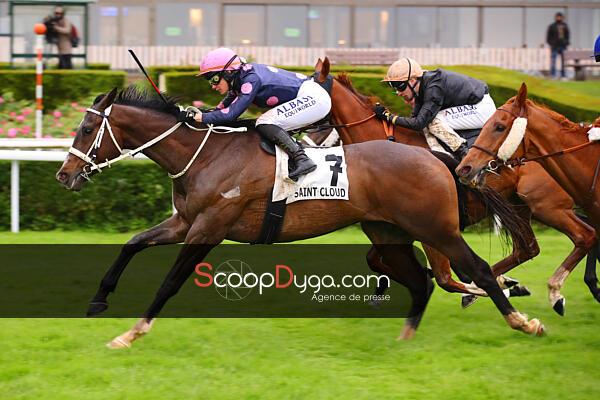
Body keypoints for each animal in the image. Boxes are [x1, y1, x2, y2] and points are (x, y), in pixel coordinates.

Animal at [55, 86, 543, 348]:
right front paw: (98, 301)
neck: (204, 155)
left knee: (476, 270)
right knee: (422, 280)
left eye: (86, 128)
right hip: (388, 233)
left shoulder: (209, 227)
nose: (63, 175)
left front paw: (132, 333)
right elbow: (133, 243)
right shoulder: (184, 222)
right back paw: (405, 338)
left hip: (436, 228)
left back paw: (523, 321)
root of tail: (436, 159)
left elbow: (171, 282)